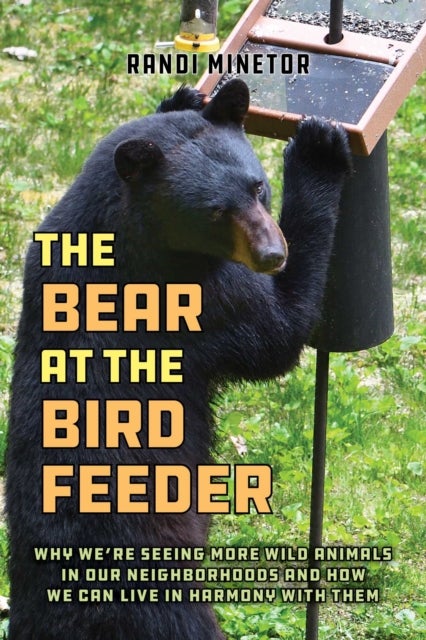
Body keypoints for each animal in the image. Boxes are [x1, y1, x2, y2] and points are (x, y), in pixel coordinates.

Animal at [7, 79, 351, 639]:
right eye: (215, 211)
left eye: (257, 188)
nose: (273, 254)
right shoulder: (202, 298)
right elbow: (277, 331)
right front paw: (319, 147)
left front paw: (185, 97)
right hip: (164, 600)